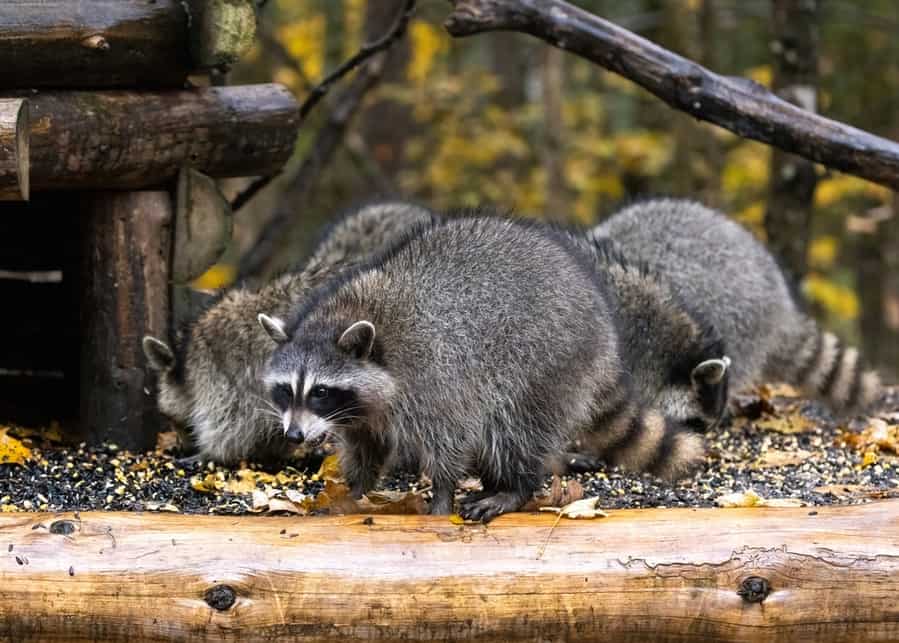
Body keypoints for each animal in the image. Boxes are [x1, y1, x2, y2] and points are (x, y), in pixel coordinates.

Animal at [141, 200, 442, 462]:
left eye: (172, 420)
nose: (180, 445)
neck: (187, 360)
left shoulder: (222, 373)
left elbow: (231, 425)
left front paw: (211, 452)